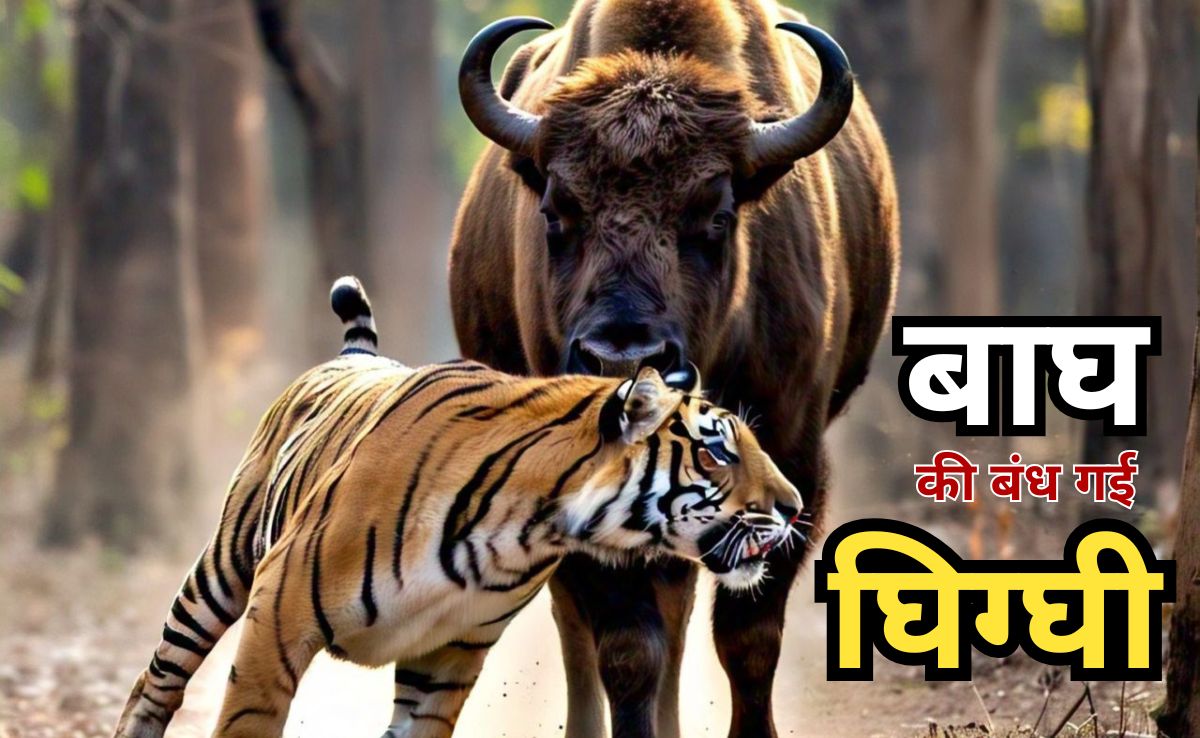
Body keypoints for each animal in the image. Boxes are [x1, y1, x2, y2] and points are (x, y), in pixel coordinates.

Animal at [113, 276, 803, 738]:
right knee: (155, 683)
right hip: (222, 572)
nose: (794, 507)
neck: (531, 529)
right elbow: (247, 719)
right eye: (716, 451)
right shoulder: (279, 613)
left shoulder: (449, 654)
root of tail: (353, 357)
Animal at [448, 1, 899, 736]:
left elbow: (747, 637)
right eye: (556, 209)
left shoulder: (793, 458)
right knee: (578, 622)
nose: (621, 357)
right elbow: (629, 647)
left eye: (714, 214)